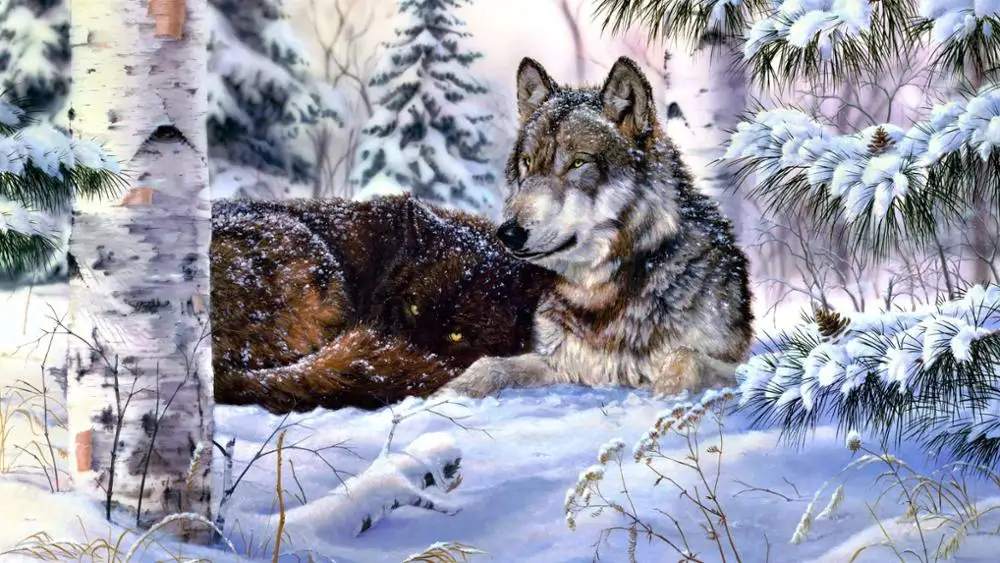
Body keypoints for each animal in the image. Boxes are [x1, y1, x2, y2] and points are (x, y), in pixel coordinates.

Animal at [440, 56, 754, 398]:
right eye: (527, 163)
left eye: (578, 163)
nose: (508, 233)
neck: (601, 293)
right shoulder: (564, 362)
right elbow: (489, 365)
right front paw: (446, 394)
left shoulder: (735, 363)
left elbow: (685, 358)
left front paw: (664, 393)